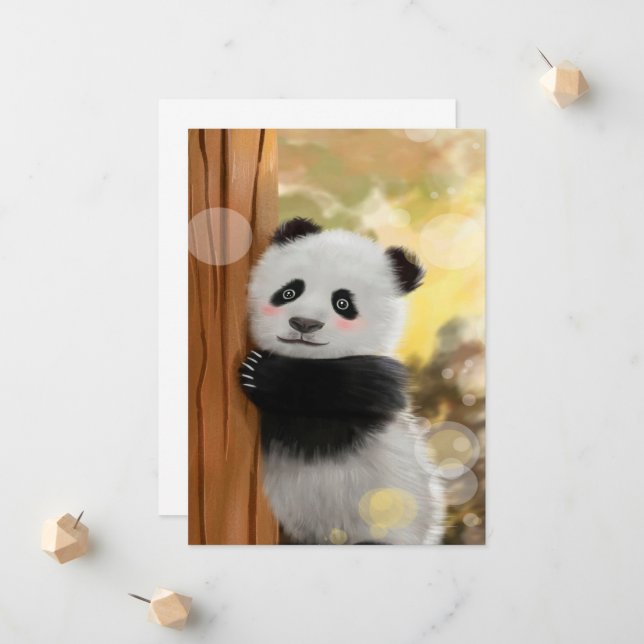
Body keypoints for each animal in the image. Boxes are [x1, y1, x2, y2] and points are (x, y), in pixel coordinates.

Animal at [239, 217, 445, 545]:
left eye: (343, 303)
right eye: (289, 292)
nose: (304, 324)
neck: (305, 357)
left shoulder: (382, 381)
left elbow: (338, 392)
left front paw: (260, 373)